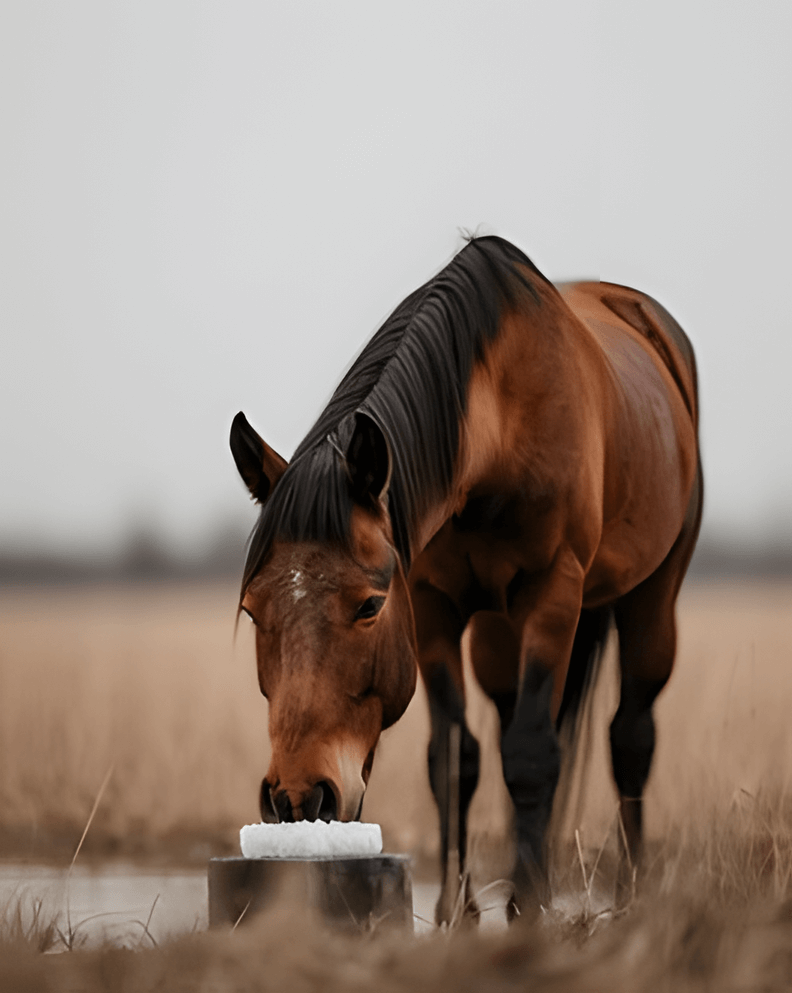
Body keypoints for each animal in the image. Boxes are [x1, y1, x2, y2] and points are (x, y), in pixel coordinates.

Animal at [229, 236, 700, 920]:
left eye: (369, 606)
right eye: (252, 610)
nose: (298, 799)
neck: (499, 431)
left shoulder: (552, 595)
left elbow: (532, 754)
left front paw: (529, 907)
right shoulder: (432, 609)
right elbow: (455, 760)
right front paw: (460, 910)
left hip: (651, 601)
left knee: (629, 738)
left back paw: (630, 892)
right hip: (497, 638)